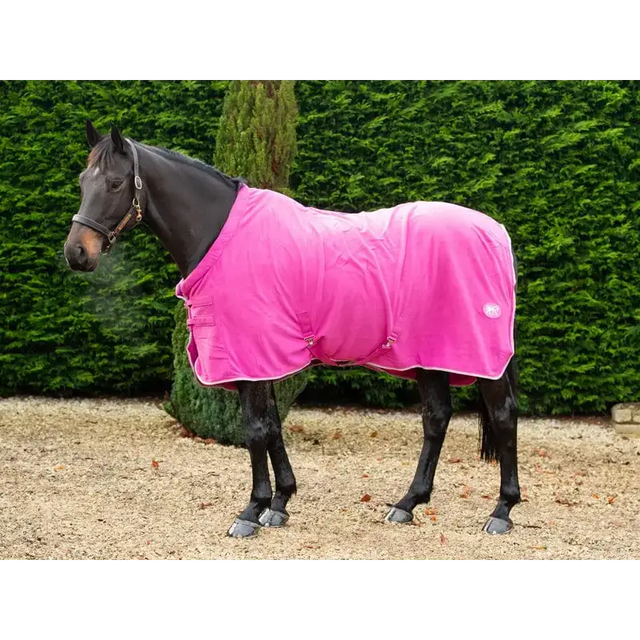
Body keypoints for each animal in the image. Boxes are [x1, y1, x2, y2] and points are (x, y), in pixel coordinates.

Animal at [64, 122, 521, 540]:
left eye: (115, 182)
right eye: (83, 181)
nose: (76, 253)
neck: (222, 236)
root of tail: (496, 231)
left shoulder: (248, 354)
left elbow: (255, 430)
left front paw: (251, 511)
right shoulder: (260, 358)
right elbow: (272, 427)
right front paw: (280, 503)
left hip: (482, 359)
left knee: (503, 415)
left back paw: (501, 511)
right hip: (427, 357)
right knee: (436, 418)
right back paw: (407, 503)